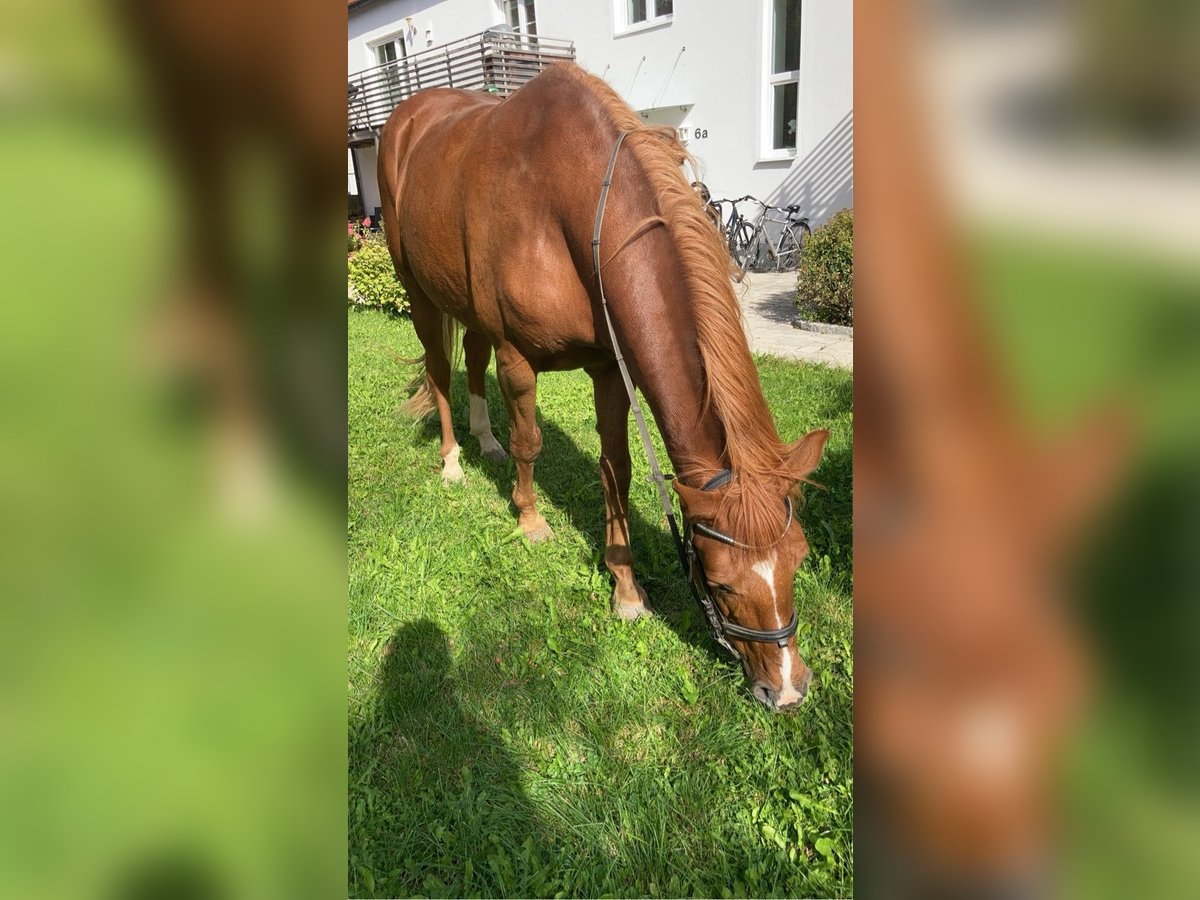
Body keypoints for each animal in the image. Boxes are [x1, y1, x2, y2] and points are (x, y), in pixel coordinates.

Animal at [379, 63, 830, 710]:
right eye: (718, 581)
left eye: (800, 559)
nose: (788, 691)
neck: (568, 197)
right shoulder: (518, 358)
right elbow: (531, 443)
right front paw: (530, 520)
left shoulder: (610, 369)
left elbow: (616, 469)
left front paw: (626, 589)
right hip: (418, 291)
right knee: (441, 372)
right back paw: (454, 461)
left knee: (472, 362)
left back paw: (485, 442)